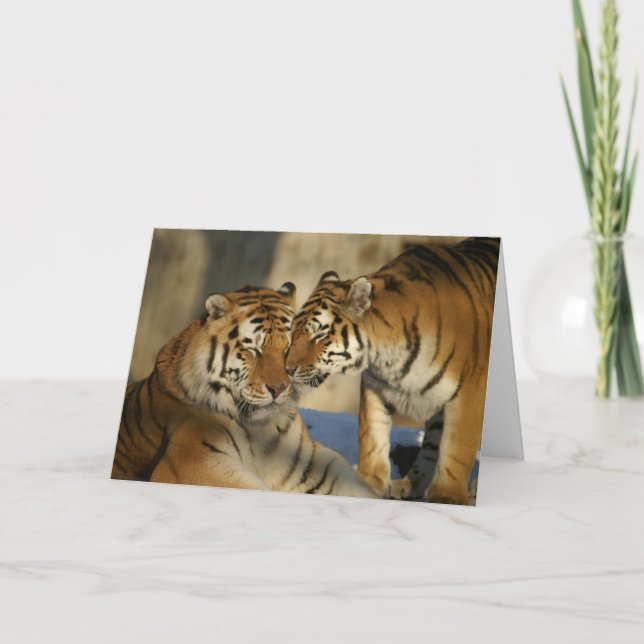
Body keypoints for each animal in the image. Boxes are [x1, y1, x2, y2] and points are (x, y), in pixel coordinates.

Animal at [111, 283, 377, 499]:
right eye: (254, 350)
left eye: (290, 346)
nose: (279, 388)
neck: (262, 430)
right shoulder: (191, 462)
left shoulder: (314, 466)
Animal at [285, 238, 500, 505]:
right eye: (294, 331)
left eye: (319, 336)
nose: (287, 368)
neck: (387, 357)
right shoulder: (375, 386)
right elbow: (372, 437)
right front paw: (367, 482)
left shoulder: (470, 389)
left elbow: (457, 449)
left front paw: (447, 497)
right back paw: (409, 484)